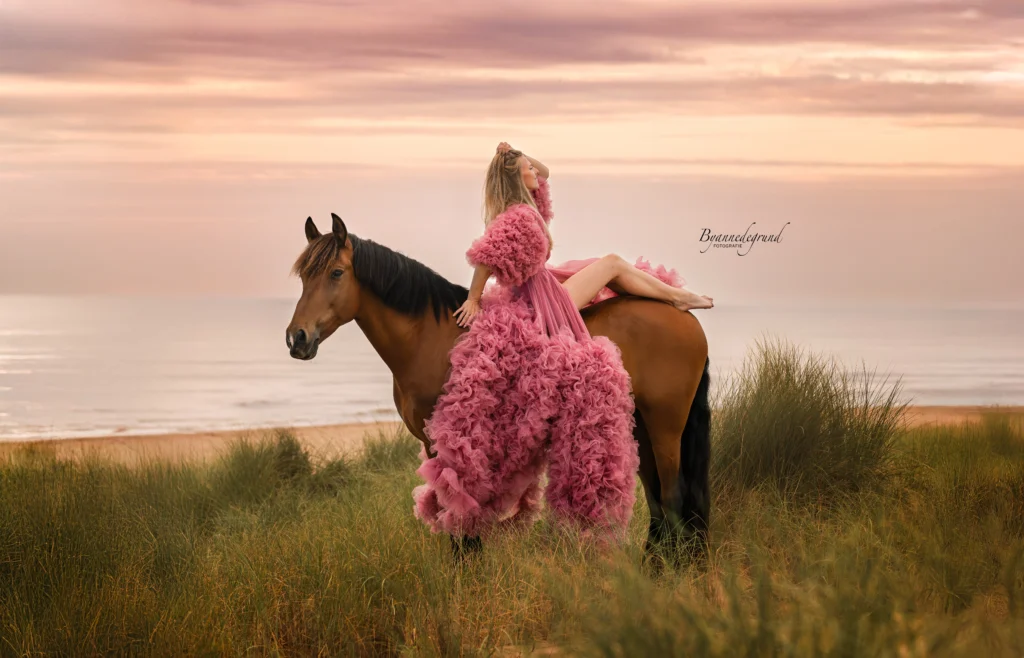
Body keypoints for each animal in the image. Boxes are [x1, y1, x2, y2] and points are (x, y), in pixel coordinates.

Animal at [288, 215, 712, 560]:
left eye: (336, 273)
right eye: (304, 277)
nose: (297, 338)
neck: (431, 337)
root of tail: (685, 318)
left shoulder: (450, 441)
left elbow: (458, 508)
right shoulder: (435, 443)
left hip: (665, 425)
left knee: (672, 494)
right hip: (639, 424)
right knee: (657, 499)